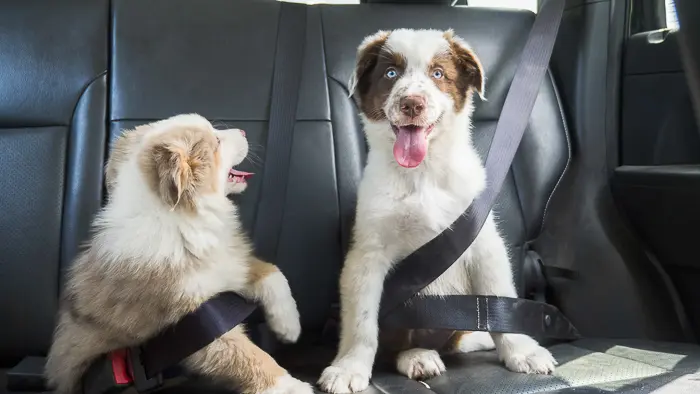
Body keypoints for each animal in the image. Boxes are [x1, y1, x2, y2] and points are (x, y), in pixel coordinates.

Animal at [45, 114, 314, 394]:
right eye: (216, 141)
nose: (242, 130)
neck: (180, 218)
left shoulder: (230, 264)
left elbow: (273, 273)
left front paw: (289, 326)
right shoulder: (192, 324)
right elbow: (247, 356)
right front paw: (291, 386)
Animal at [318, 29, 556, 392]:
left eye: (438, 73)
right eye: (391, 73)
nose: (412, 104)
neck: (423, 172)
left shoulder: (483, 242)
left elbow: (500, 298)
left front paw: (522, 351)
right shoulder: (367, 253)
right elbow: (362, 322)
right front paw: (349, 367)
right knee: (399, 345)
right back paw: (418, 357)